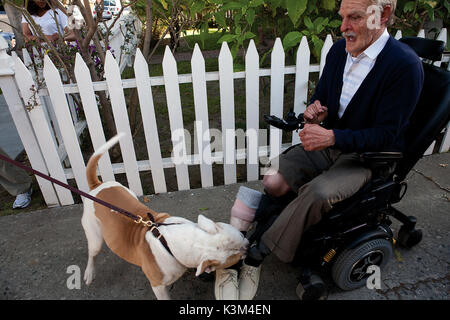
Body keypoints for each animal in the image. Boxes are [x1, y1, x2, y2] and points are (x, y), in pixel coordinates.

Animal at [81, 133, 250, 300]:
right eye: (237, 259)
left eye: (242, 235)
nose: (248, 246)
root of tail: (97, 186)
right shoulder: (158, 286)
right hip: (95, 238)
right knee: (92, 253)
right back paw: (89, 272)